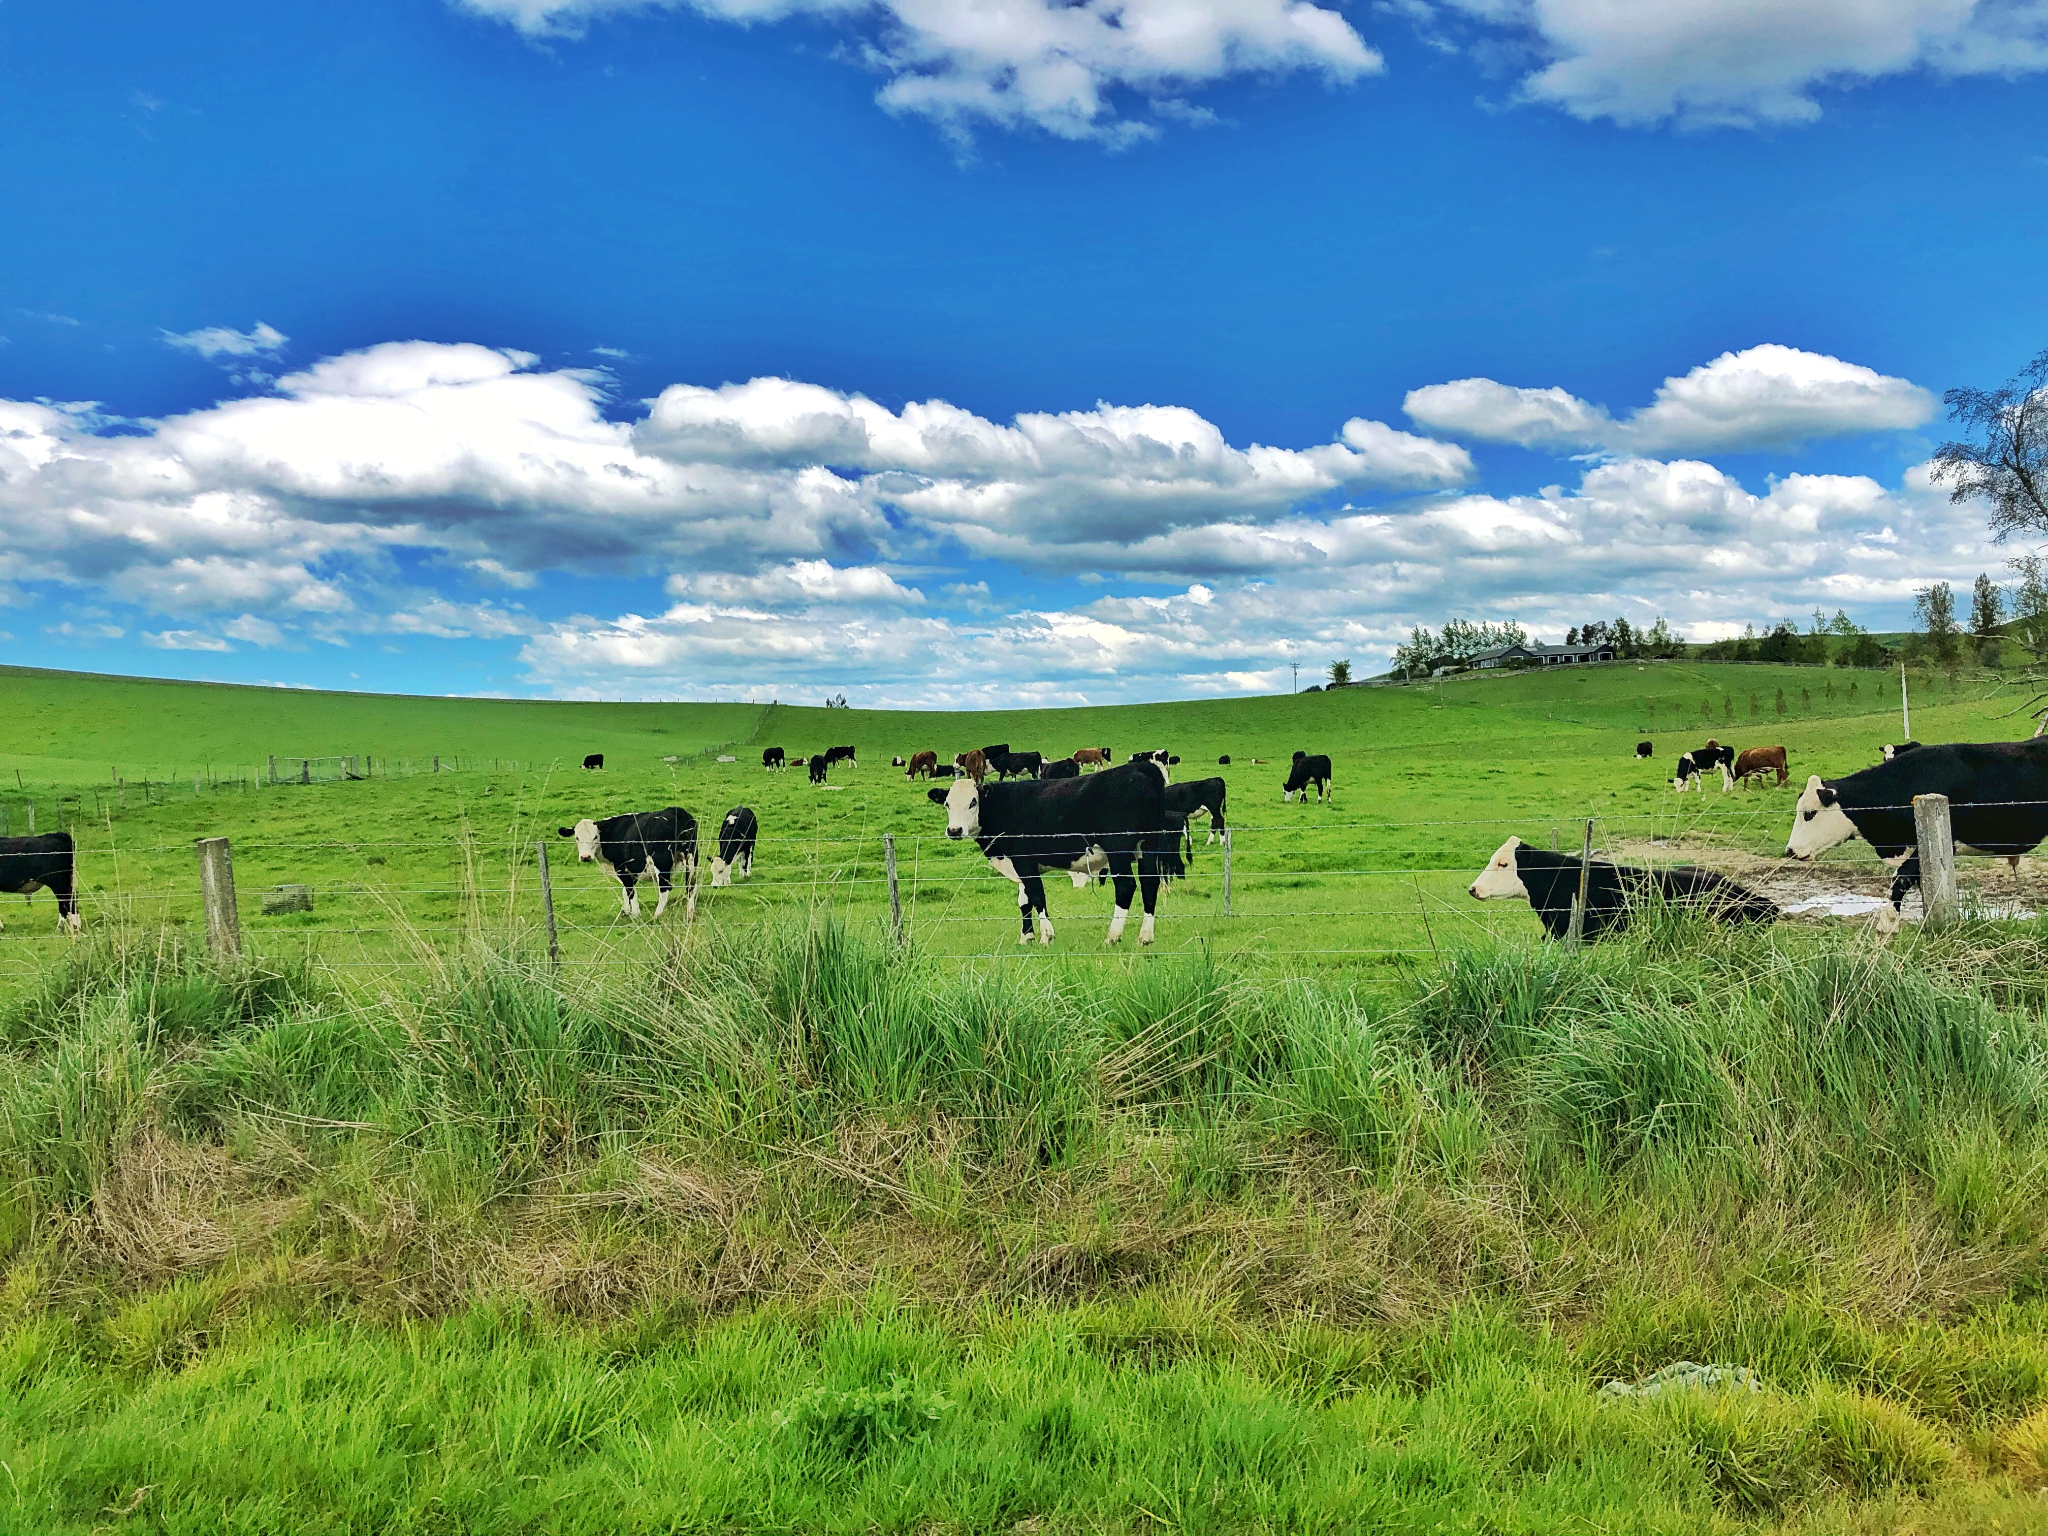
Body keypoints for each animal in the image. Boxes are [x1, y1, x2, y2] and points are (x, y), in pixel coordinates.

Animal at [557, 811, 700, 921]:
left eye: (595, 836)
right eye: (577, 838)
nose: (585, 857)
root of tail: (677, 812)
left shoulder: (622, 868)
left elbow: (630, 890)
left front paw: (635, 914)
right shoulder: (632, 871)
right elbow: (626, 890)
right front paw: (626, 910)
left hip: (661, 863)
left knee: (665, 888)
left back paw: (657, 915)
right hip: (692, 858)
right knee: (691, 885)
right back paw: (690, 914)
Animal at [925, 761, 1179, 950]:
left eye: (973, 802)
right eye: (947, 804)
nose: (954, 830)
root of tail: (1140, 768)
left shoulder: (1024, 861)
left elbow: (1037, 895)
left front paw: (1046, 936)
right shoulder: (1022, 864)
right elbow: (1024, 900)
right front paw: (1026, 937)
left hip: (1119, 850)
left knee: (1126, 886)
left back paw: (1112, 936)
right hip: (1147, 846)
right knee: (1149, 884)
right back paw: (1145, 937)